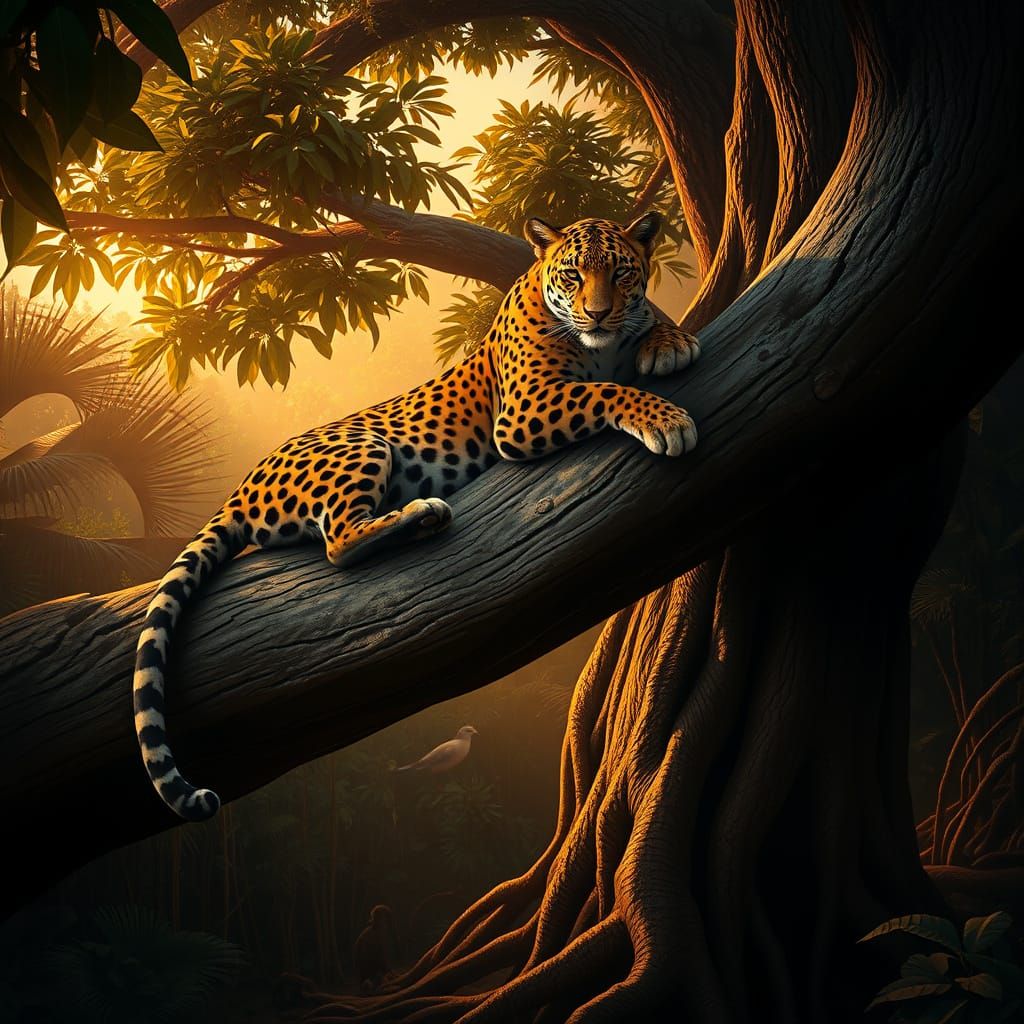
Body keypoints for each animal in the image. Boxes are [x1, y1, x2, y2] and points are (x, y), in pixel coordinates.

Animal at [133, 211, 701, 821]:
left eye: (622, 273)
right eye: (572, 275)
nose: (597, 313)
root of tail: (241, 486)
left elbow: (643, 332)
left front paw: (669, 341)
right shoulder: (526, 406)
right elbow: (607, 392)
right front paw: (666, 418)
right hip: (363, 445)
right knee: (338, 541)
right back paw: (422, 512)